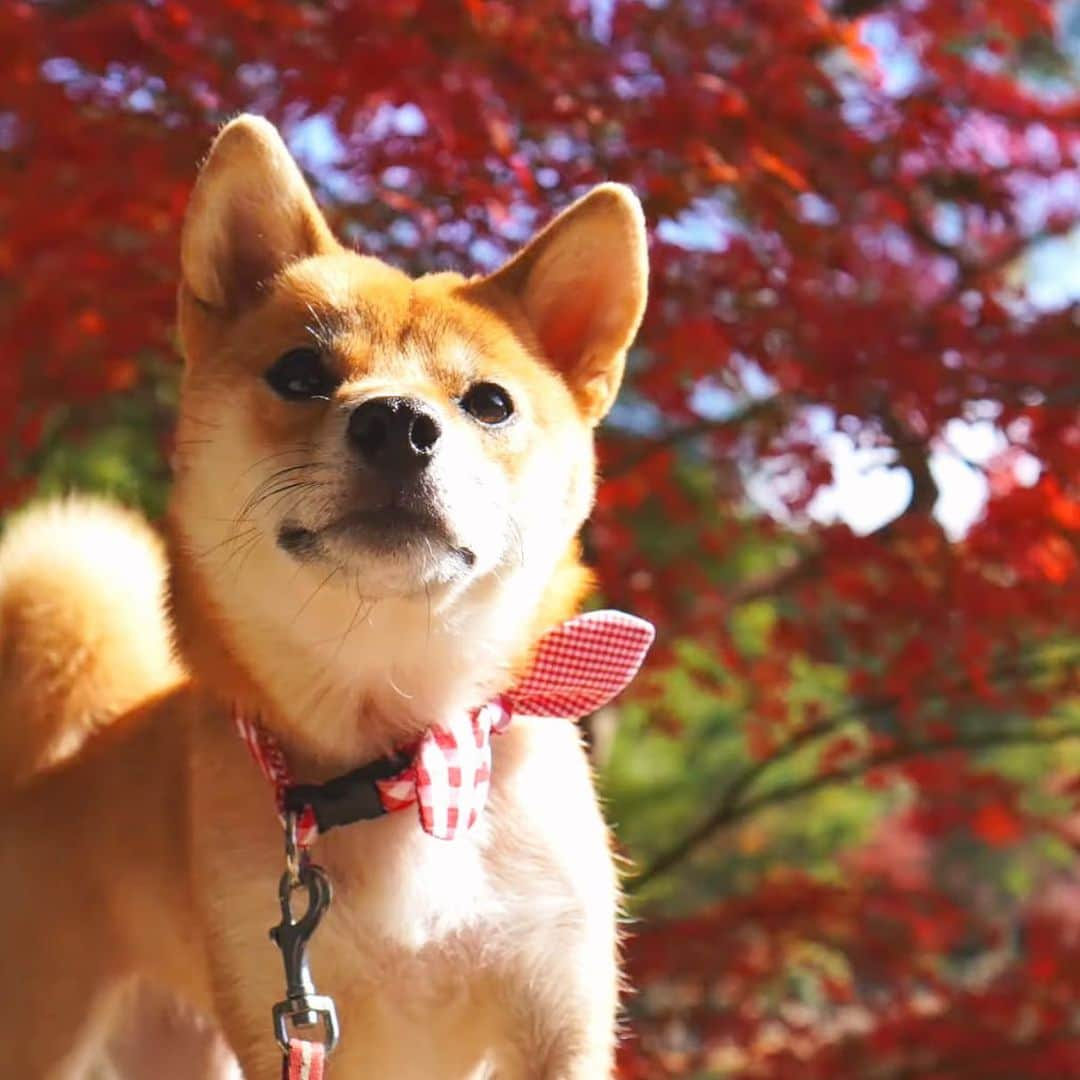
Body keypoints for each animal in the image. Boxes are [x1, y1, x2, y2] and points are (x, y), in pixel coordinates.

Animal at [0, 113, 648, 1075]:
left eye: (490, 403)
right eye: (301, 373)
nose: (399, 422)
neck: (402, 767)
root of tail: (65, 753)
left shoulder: (560, 1012)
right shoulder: (284, 1005)